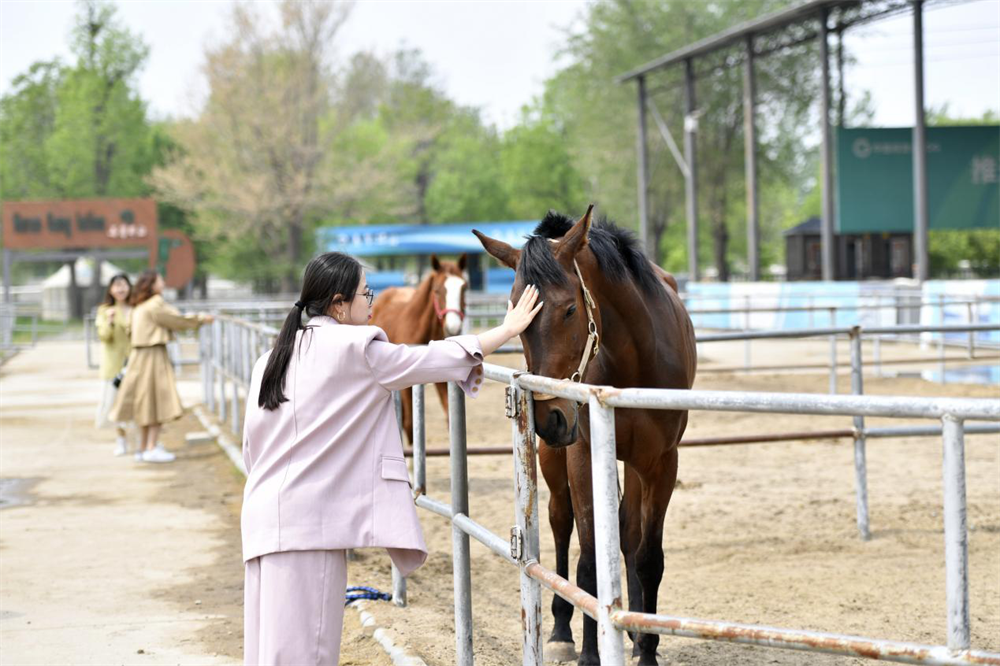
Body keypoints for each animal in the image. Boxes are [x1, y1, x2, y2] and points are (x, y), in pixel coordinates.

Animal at [371, 253, 469, 444]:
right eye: (437, 290)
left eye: (464, 287)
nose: (454, 327)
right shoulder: (405, 385)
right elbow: (410, 425)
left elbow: (448, 417)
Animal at [474, 206, 696, 666]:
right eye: (516, 315)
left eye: (569, 310)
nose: (551, 418)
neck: (634, 358)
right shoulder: (582, 453)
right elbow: (590, 559)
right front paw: (590, 653)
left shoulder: (661, 462)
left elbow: (647, 556)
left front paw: (646, 649)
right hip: (555, 460)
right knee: (561, 524)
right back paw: (561, 629)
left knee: (627, 533)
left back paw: (633, 633)